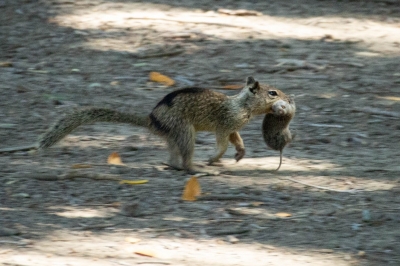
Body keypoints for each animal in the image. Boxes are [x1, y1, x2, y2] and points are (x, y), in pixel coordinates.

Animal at [37, 76, 290, 174]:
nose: (289, 99)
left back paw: (172, 165)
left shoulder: (233, 128)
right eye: (273, 93)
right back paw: (196, 168)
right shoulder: (224, 124)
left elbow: (237, 139)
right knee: (186, 158)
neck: (242, 105)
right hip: (185, 131)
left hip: (174, 135)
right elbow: (222, 143)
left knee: (173, 156)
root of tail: (151, 119)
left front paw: (240, 153)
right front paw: (215, 158)